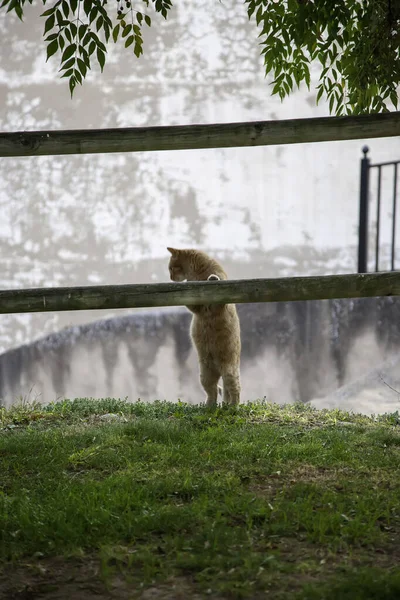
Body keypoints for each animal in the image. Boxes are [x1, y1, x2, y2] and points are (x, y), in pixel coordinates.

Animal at [166, 245, 241, 408]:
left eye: (171, 268)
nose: (170, 277)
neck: (198, 274)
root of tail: (219, 369)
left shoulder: (221, 300)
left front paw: (212, 278)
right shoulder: (197, 308)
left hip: (229, 372)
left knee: (235, 390)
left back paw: (233, 407)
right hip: (205, 375)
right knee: (214, 391)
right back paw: (209, 406)